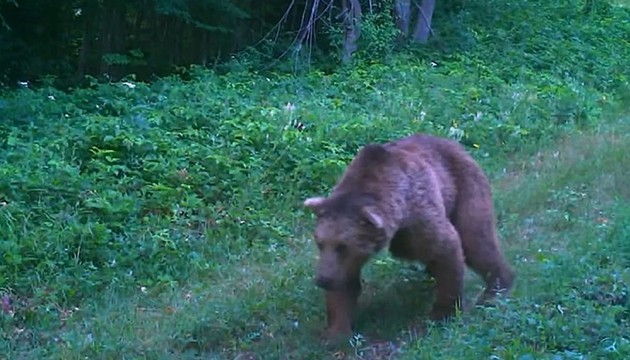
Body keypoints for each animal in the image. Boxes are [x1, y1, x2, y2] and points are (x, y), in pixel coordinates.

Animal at [304, 131, 516, 338]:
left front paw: (442, 314)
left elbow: (445, 248)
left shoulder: (418, 214)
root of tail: (453, 143)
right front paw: (336, 331)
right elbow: (345, 282)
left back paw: (496, 288)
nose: (322, 280)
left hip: (464, 186)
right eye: (320, 242)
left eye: (343, 246)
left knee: (476, 239)